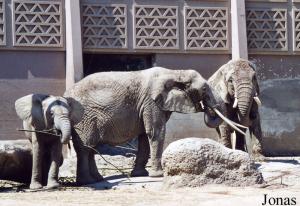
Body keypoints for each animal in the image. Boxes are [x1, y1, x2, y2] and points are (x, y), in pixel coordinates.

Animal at [63, 66, 244, 185]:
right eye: (204, 89)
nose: (205, 107)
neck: (175, 72)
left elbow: (145, 135)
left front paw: (139, 174)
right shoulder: (151, 101)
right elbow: (156, 132)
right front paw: (158, 175)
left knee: (90, 148)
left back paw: (96, 179)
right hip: (84, 119)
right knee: (85, 148)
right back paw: (87, 182)